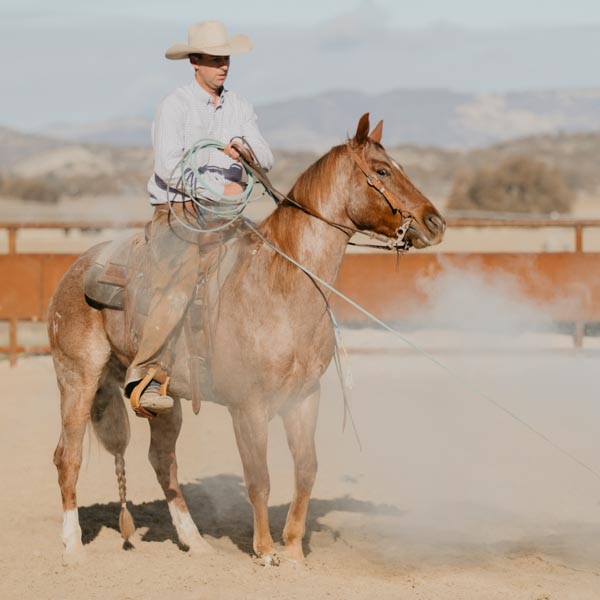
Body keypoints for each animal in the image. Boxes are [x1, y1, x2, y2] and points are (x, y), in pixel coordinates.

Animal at [49, 111, 446, 564]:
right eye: (382, 171)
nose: (436, 223)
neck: (279, 285)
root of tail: (77, 269)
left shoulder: (304, 398)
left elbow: (306, 470)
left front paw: (294, 548)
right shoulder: (249, 407)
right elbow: (259, 478)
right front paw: (266, 550)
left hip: (164, 399)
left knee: (163, 462)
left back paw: (195, 541)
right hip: (77, 379)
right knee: (68, 457)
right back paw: (73, 546)